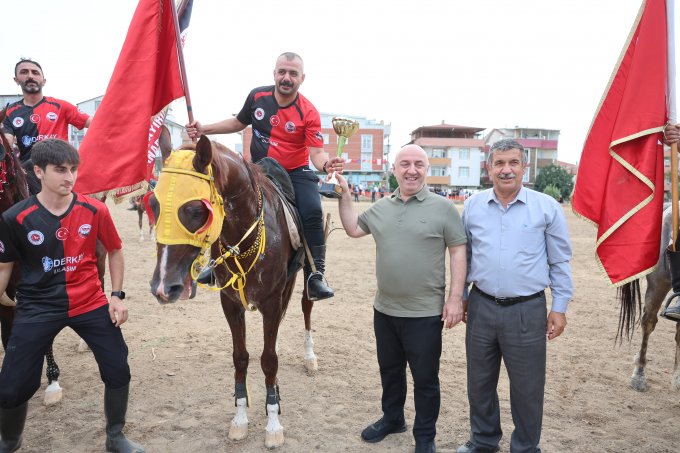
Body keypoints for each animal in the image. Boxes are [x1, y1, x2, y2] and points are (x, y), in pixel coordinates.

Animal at [149, 136, 322, 446]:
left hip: (303, 275)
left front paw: (273, 423)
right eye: (154, 204)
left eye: (197, 210)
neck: (244, 236)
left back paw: (310, 356)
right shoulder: (230, 303)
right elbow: (241, 358)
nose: (163, 287)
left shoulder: (270, 302)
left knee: (305, 307)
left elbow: (269, 361)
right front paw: (240, 418)